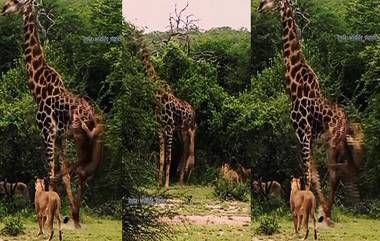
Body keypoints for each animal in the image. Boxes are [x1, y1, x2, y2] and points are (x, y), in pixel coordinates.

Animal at [1, 0, 104, 228]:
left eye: (18, 2)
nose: (3, 8)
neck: (38, 88)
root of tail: (94, 117)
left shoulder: (47, 132)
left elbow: (49, 173)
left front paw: (49, 211)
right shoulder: (59, 138)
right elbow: (63, 176)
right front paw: (63, 213)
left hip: (81, 137)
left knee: (82, 170)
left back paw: (75, 216)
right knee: (82, 173)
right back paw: (76, 217)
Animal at [134, 30, 196, 188]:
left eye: (136, 37)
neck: (158, 96)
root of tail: (193, 111)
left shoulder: (169, 128)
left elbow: (168, 157)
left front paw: (166, 185)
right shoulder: (160, 129)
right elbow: (161, 158)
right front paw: (158, 183)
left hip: (188, 128)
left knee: (188, 150)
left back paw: (181, 181)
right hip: (181, 130)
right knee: (185, 149)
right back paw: (180, 180)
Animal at [256, 0, 364, 226]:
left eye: (273, 1)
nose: (260, 6)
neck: (294, 87)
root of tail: (345, 120)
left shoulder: (303, 133)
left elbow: (307, 173)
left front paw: (305, 208)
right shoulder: (308, 137)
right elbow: (313, 174)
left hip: (333, 143)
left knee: (336, 172)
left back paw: (328, 215)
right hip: (332, 144)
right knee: (338, 171)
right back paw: (327, 213)